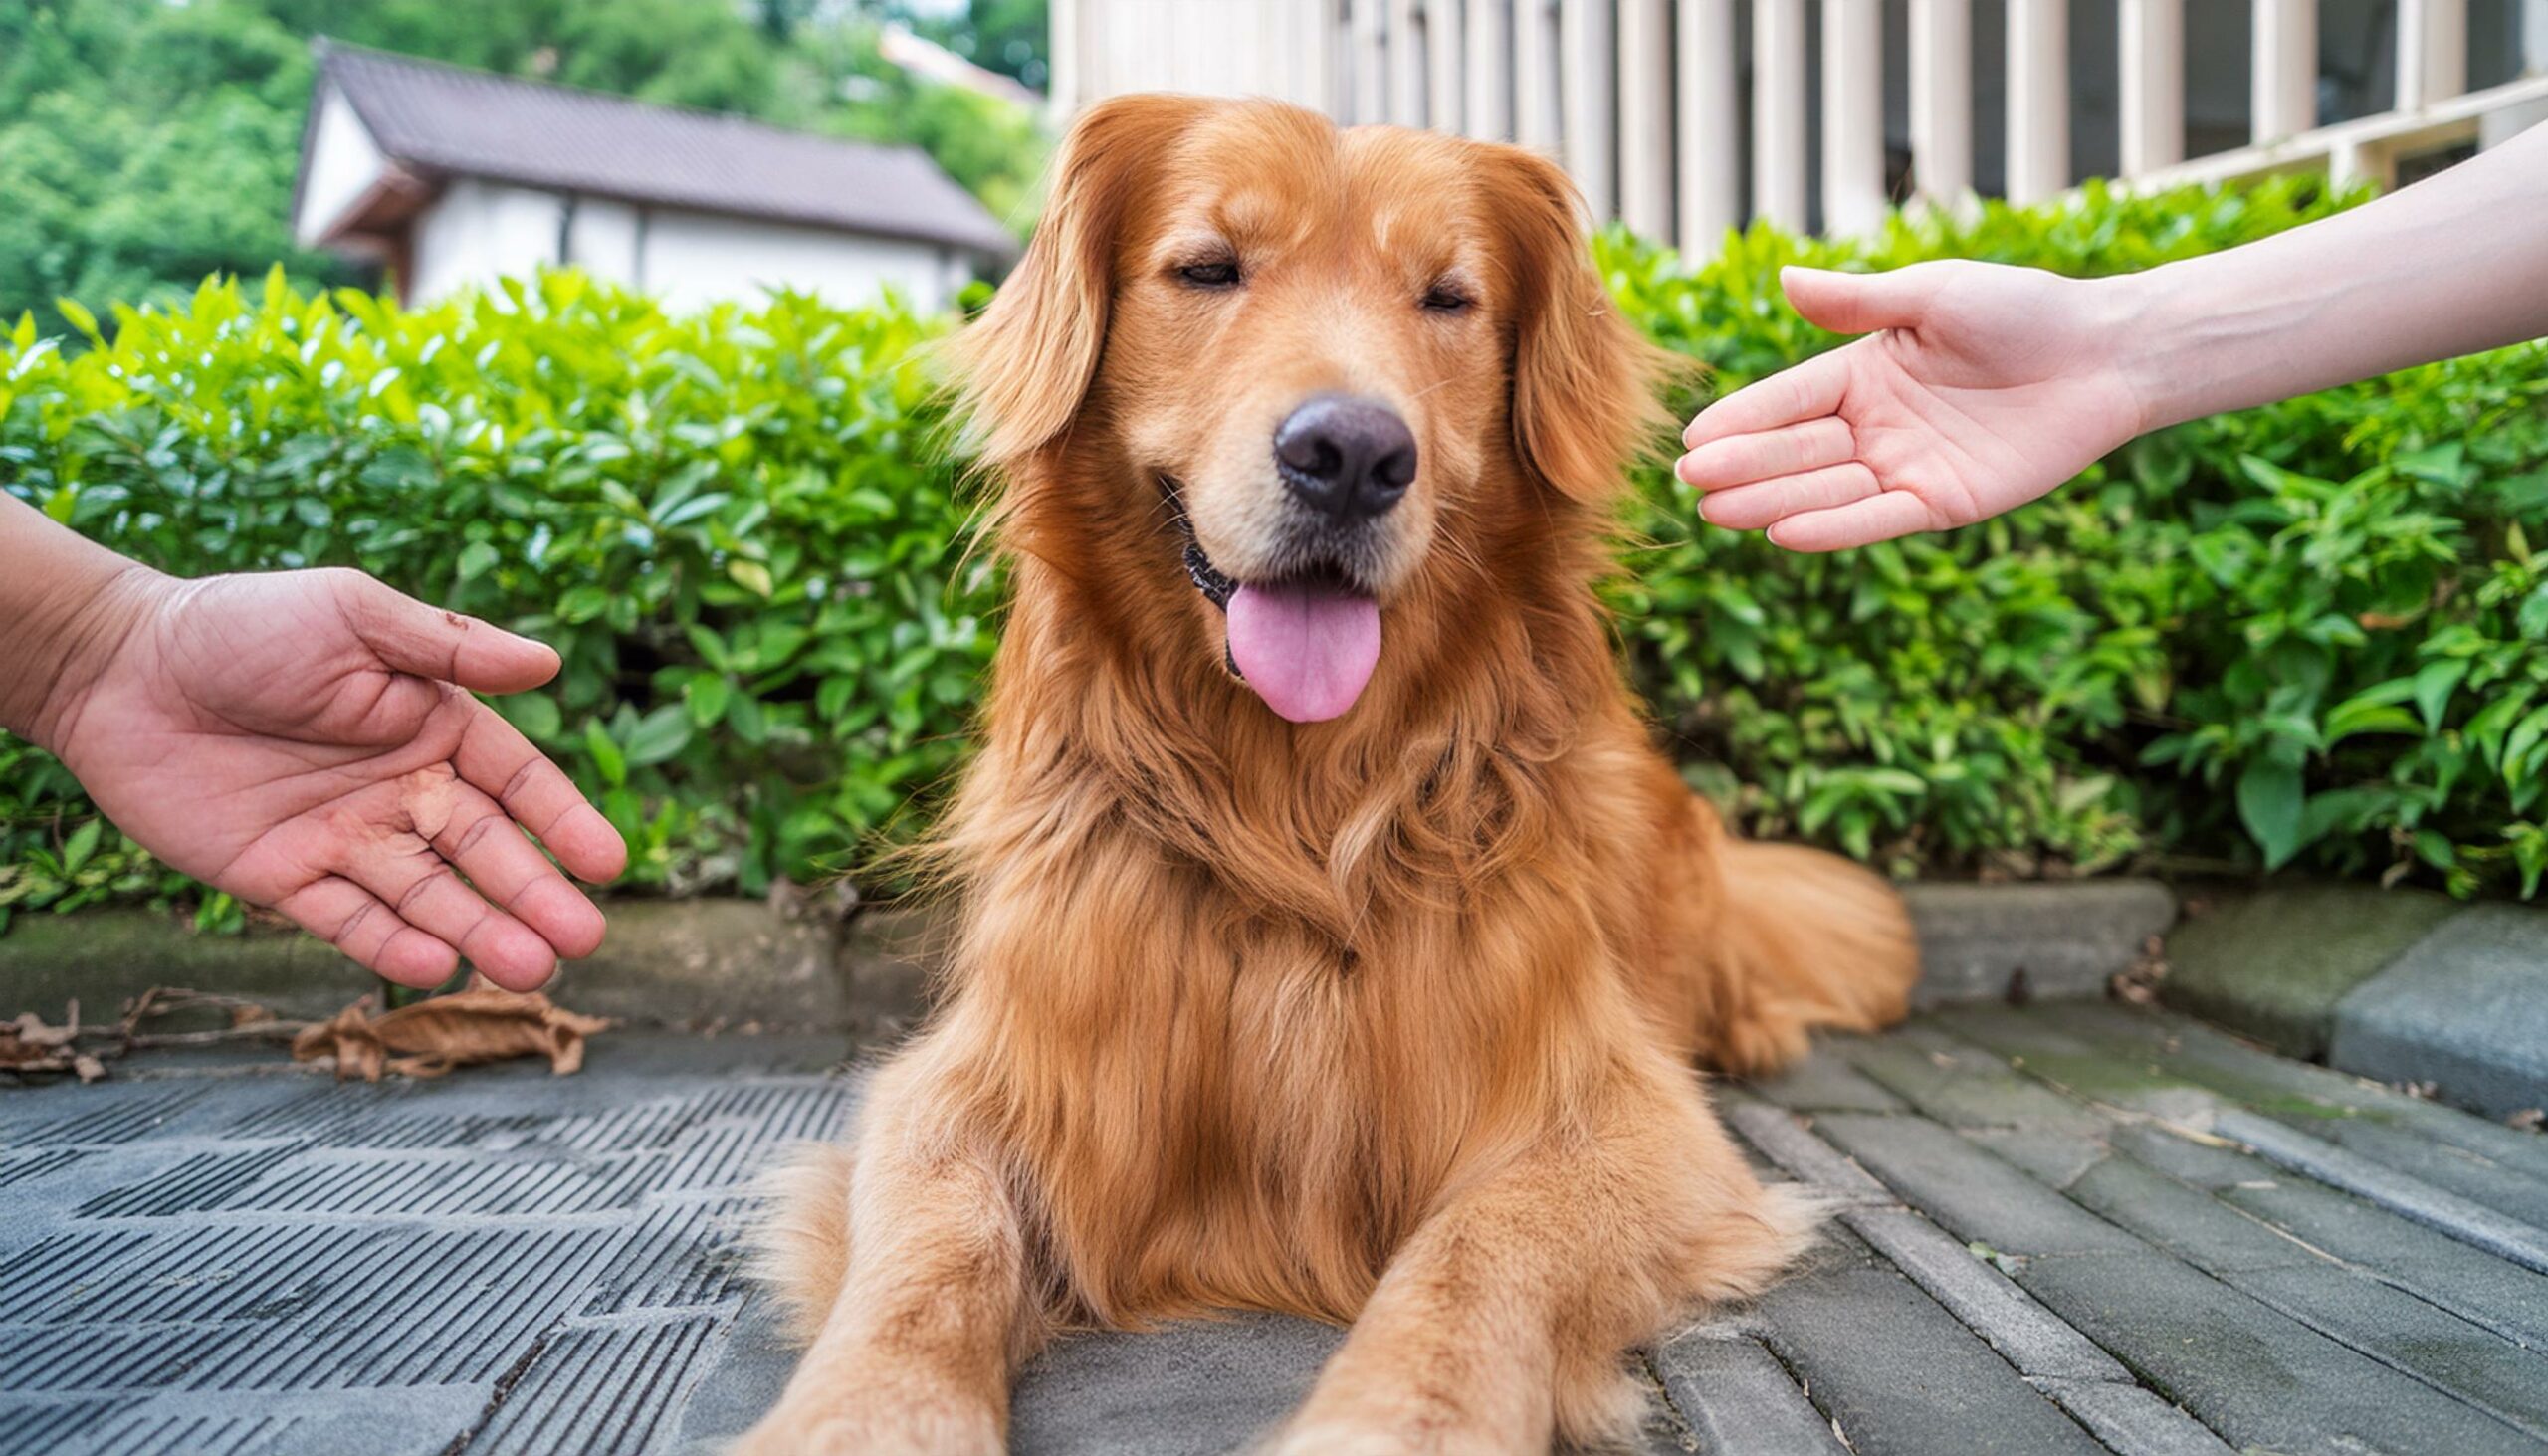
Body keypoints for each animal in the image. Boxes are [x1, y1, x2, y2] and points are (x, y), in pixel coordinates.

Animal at [739, 97, 1916, 1448]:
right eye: (1208, 268)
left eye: (1447, 297)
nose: (1351, 453)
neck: (1292, 801)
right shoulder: (974, 1083)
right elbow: (928, 1253)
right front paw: (864, 1414)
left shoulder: (1624, 1116)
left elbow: (1474, 1251)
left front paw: (1402, 1414)